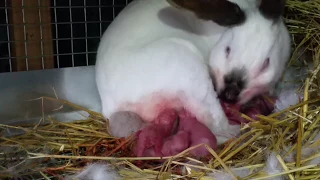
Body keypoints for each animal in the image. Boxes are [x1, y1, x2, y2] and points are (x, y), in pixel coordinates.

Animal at [94, 0, 290, 158]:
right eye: (227, 50)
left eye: (266, 63)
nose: (229, 94)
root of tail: (111, 104)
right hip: (192, 75)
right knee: (217, 125)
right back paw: (237, 130)